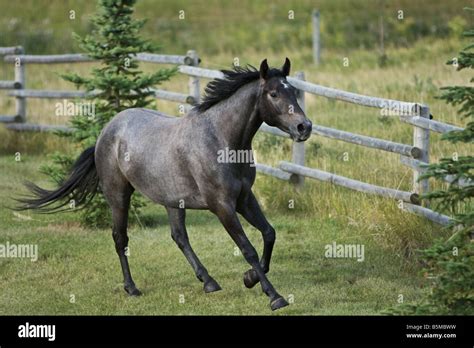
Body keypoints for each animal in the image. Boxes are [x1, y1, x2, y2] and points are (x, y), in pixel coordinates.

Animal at [17, 58, 312, 312]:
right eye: (273, 94)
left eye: (293, 92)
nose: (304, 127)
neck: (221, 140)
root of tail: (106, 131)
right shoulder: (222, 205)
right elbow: (247, 248)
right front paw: (274, 296)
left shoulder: (244, 198)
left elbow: (269, 233)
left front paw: (250, 278)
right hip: (118, 195)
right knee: (120, 238)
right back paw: (132, 288)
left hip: (172, 201)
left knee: (179, 237)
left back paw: (209, 282)